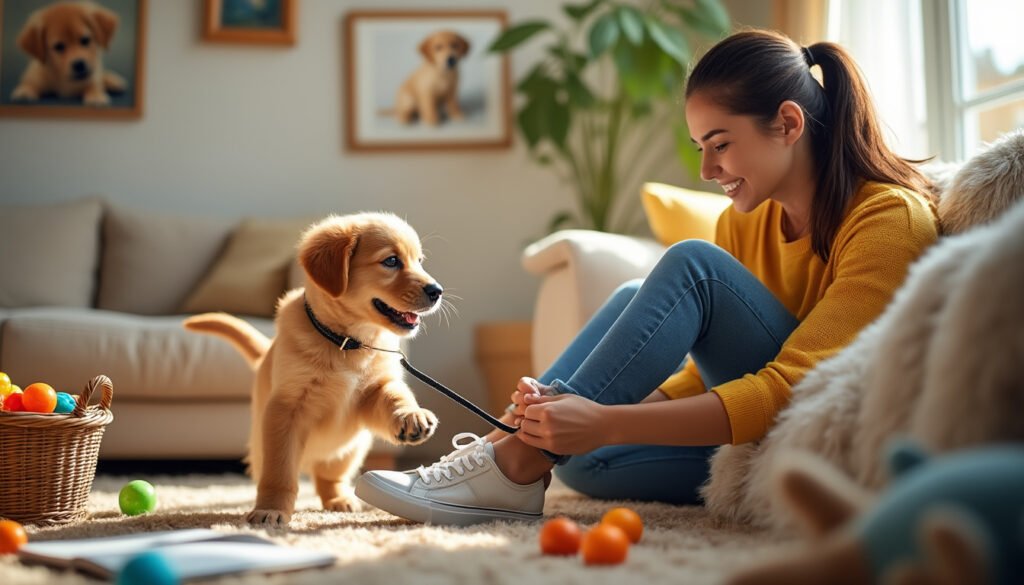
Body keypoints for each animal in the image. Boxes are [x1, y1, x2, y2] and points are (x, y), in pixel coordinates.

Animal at [186, 212, 442, 524]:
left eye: (419, 260)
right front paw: (271, 508)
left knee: (328, 476)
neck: (347, 343)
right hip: (262, 447)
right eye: (391, 261)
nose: (437, 291)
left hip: (349, 450)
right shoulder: (286, 410)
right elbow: (279, 472)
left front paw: (411, 416)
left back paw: (340, 499)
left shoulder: (372, 391)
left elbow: (394, 395)